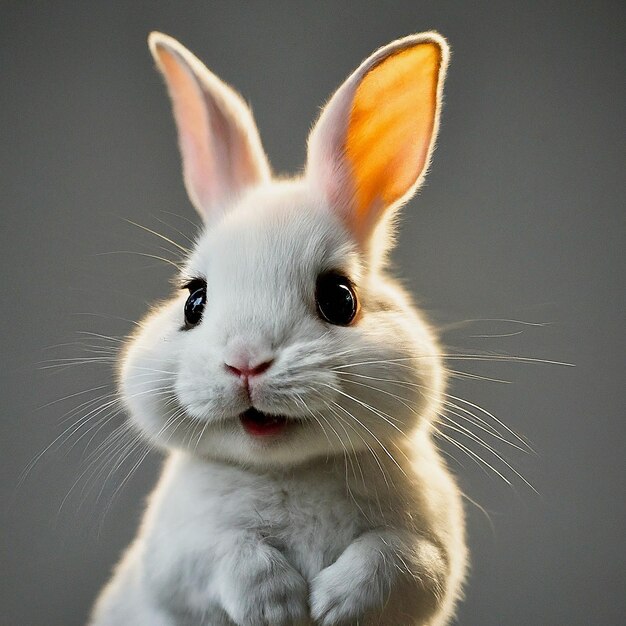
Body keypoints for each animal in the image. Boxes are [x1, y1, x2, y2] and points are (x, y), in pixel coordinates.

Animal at [90, 31, 466, 624]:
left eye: (340, 298)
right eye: (193, 301)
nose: (246, 362)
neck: (288, 467)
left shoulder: (433, 547)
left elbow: (398, 559)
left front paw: (334, 603)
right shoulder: (178, 556)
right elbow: (228, 554)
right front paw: (279, 606)